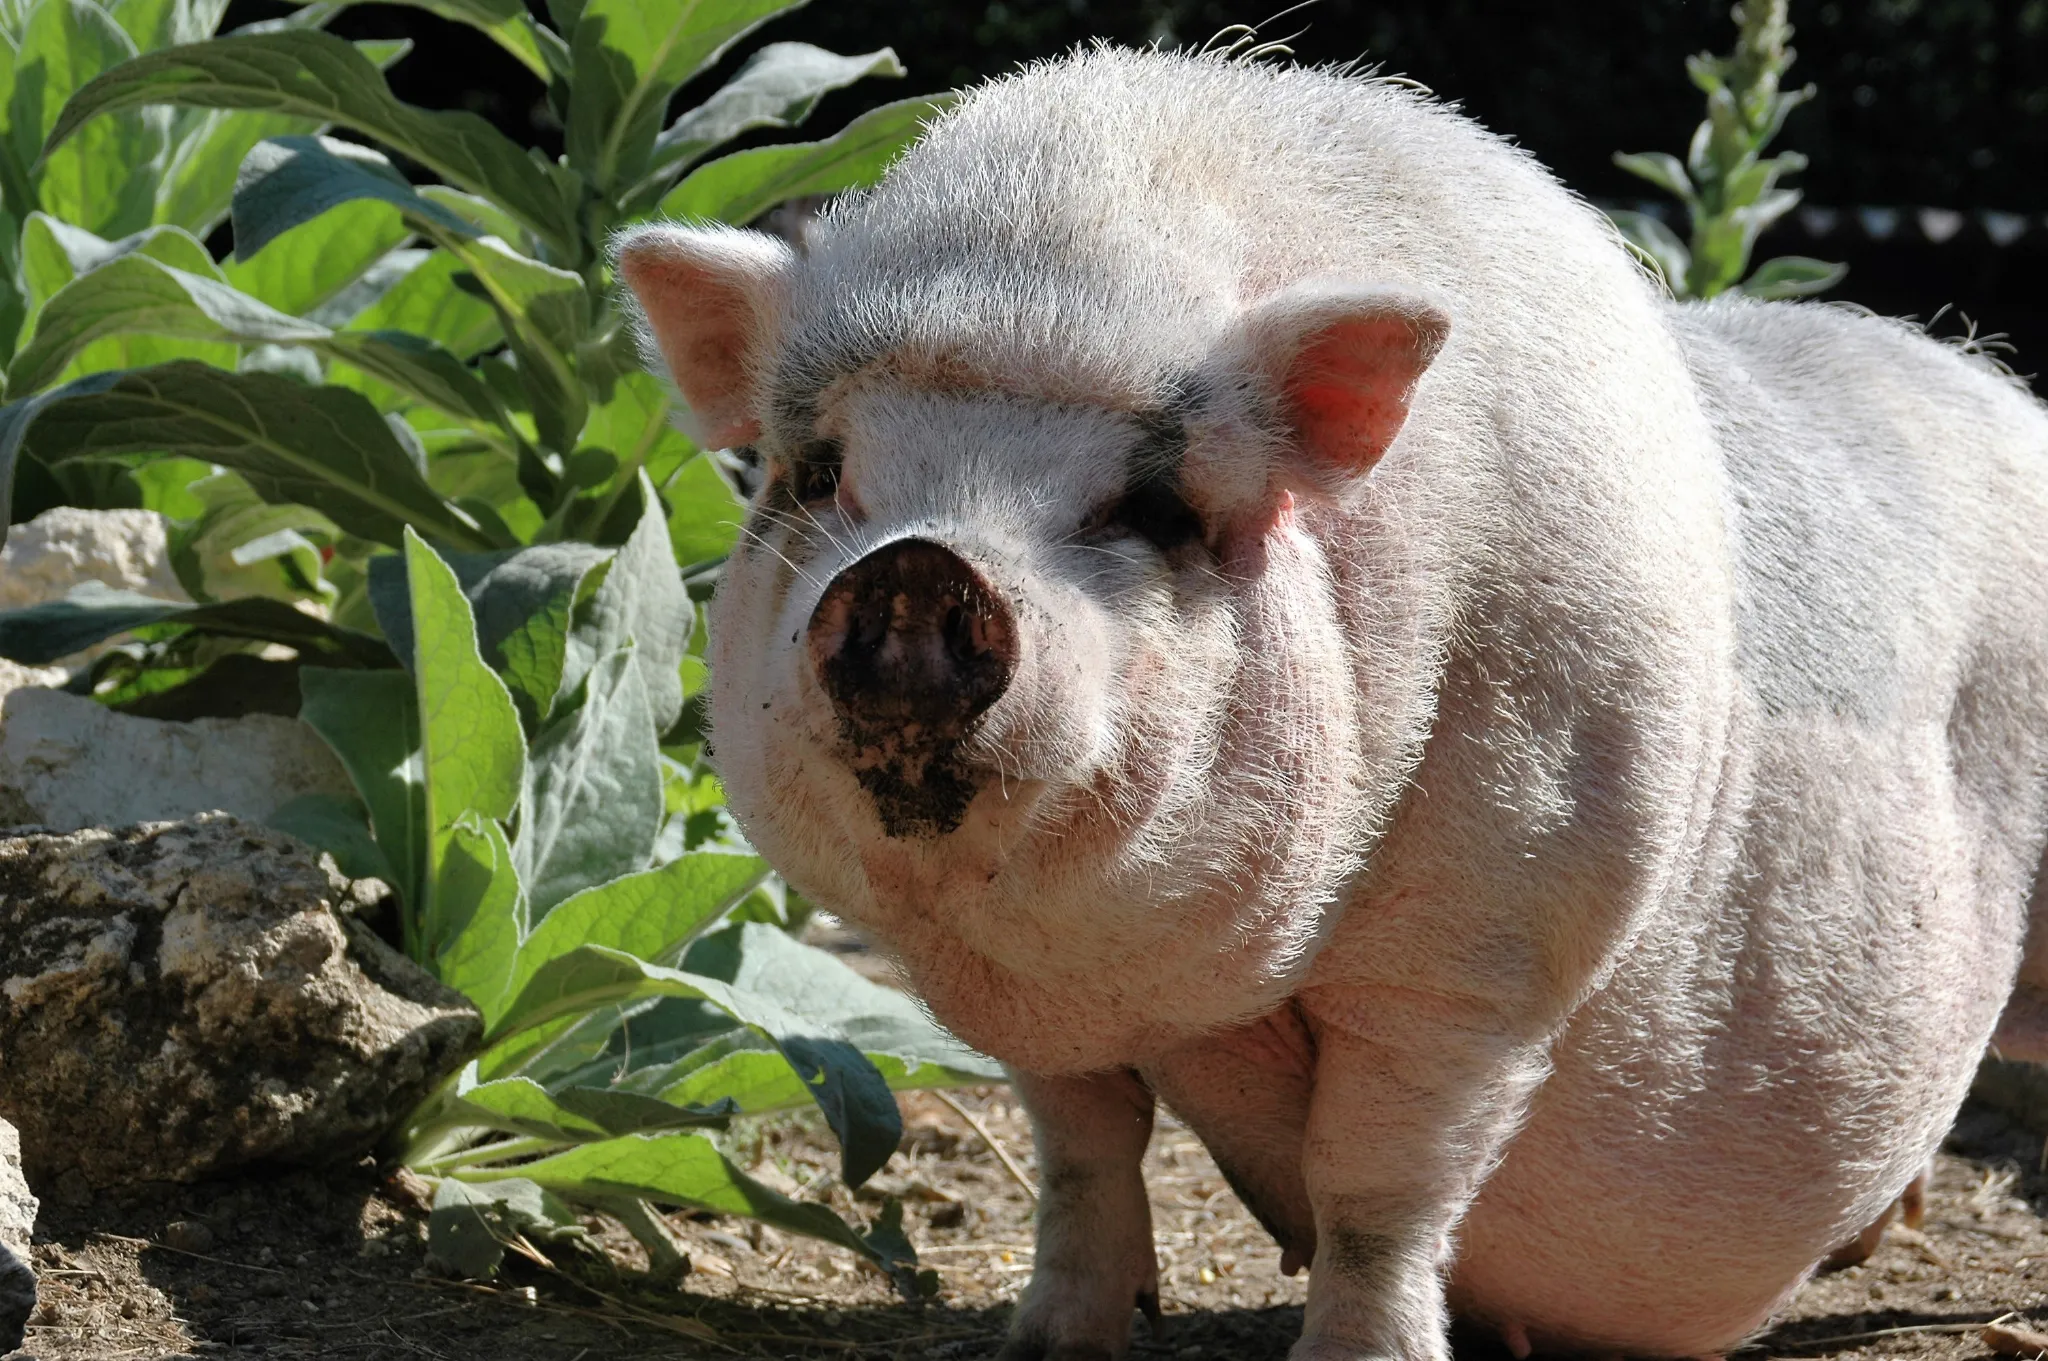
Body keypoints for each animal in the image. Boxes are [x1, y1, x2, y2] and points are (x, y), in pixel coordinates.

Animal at [615, 45, 2048, 1361]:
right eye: (818, 476)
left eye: (1149, 508)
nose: (917, 568)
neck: (1180, 988)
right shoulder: (1041, 1017)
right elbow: (1082, 1154)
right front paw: (1047, 1345)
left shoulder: (1485, 942)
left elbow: (1378, 1190)